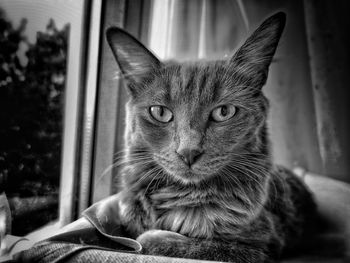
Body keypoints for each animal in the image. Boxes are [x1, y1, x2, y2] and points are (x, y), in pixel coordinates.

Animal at [105, 12, 316, 263]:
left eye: (224, 112)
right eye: (160, 112)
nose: (188, 152)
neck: (184, 197)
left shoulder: (259, 248)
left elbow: (182, 243)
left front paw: (153, 238)